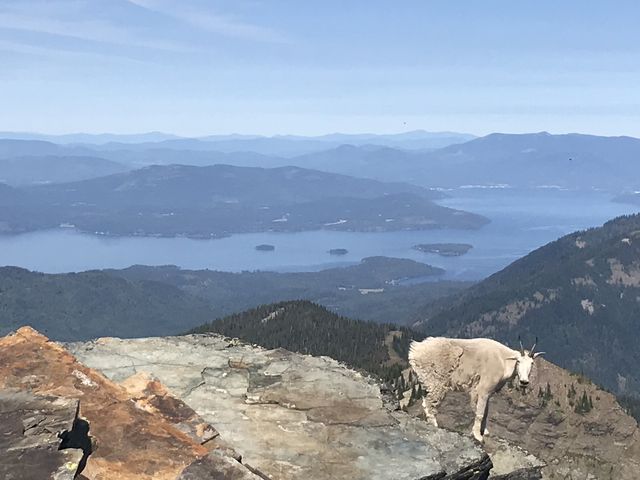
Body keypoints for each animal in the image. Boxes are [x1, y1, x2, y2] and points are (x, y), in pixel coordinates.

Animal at [410, 336, 544, 440]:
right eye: (518, 361)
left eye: (532, 363)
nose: (524, 382)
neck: (504, 360)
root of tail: (415, 350)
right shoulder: (484, 389)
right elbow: (480, 413)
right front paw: (478, 436)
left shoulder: (486, 392)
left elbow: (485, 412)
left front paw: (484, 432)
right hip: (436, 381)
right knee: (430, 403)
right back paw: (434, 425)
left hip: (426, 382)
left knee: (425, 401)